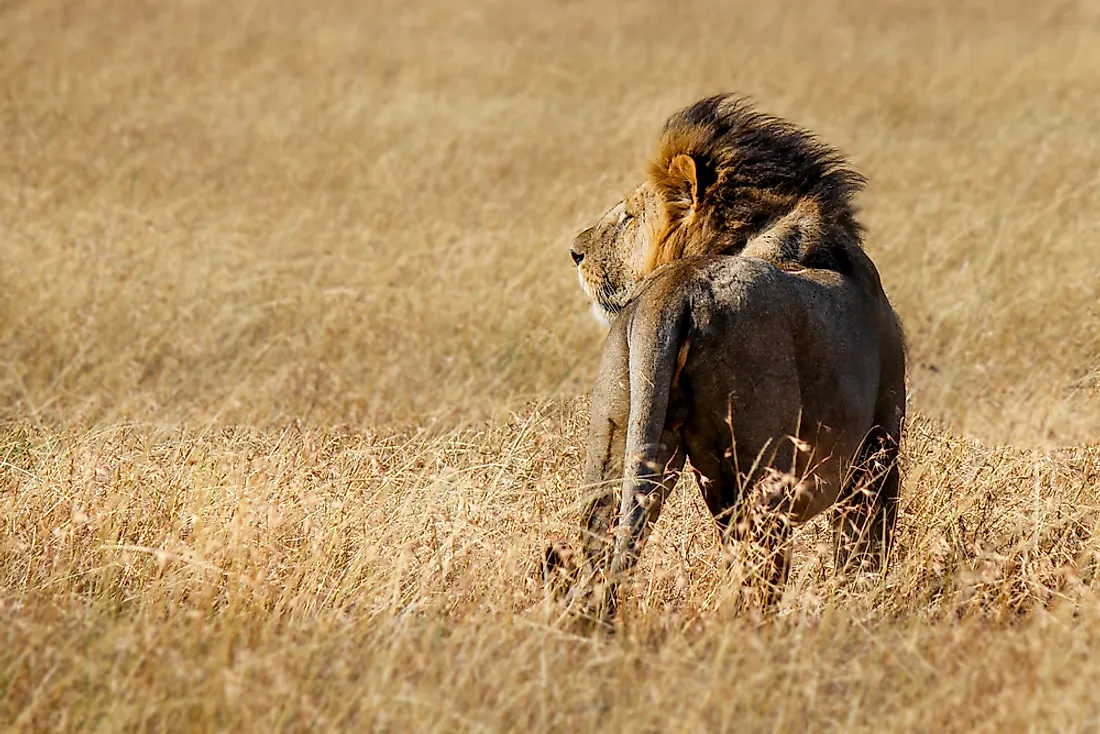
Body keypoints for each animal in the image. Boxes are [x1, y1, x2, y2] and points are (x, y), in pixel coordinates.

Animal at [545, 93, 906, 625]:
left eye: (628, 217)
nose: (574, 253)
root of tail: (678, 285)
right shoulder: (878, 446)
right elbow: (862, 555)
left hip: (615, 439)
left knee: (600, 546)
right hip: (764, 470)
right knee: (754, 575)